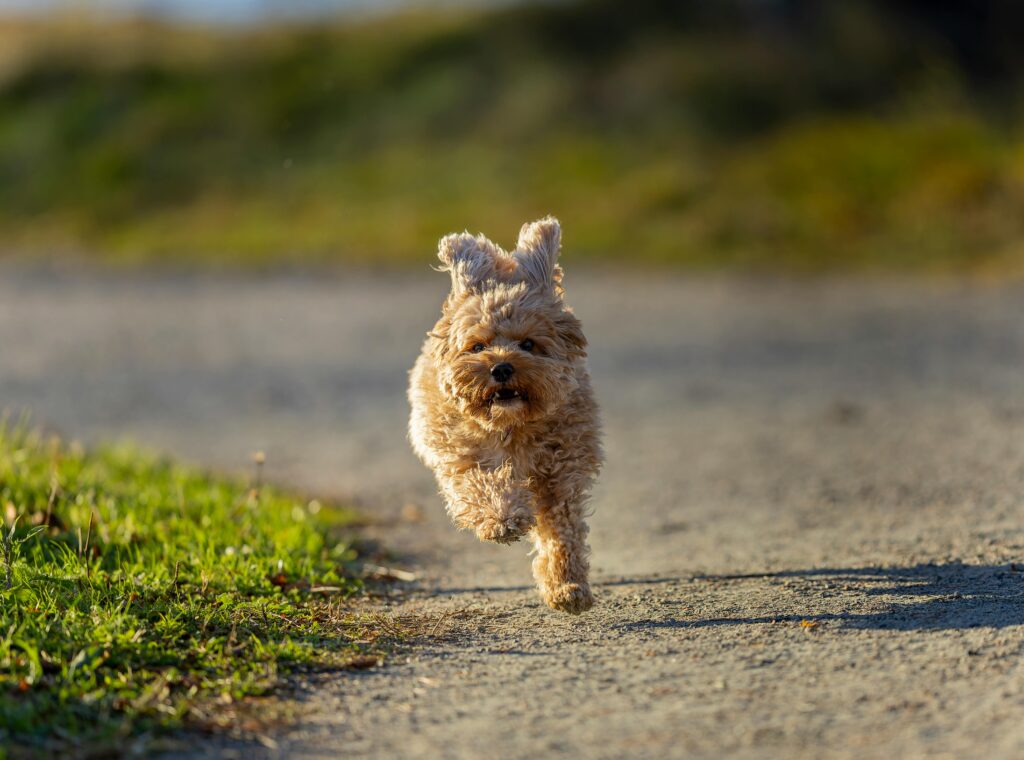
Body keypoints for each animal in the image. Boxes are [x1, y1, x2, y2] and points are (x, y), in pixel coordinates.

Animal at [405, 217, 602, 614]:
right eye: (477, 346)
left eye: (528, 344)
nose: (501, 367)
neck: (511, 426)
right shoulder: (463, 457)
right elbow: (484, 485)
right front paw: (503, 518)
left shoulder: (561, 474)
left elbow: (562, 533)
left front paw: (567, 586)